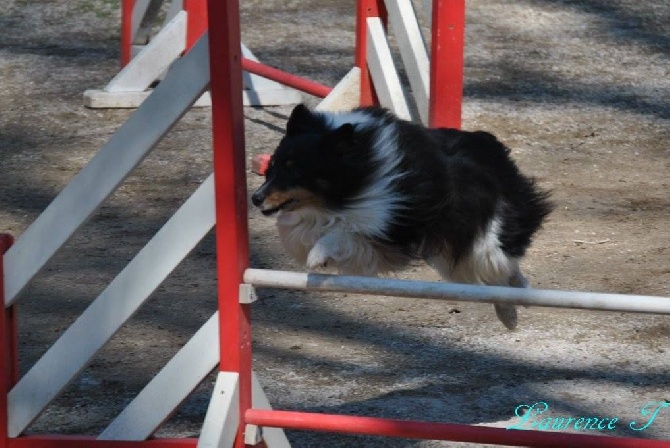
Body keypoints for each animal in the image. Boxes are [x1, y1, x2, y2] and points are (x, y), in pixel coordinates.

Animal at [252, 105, 552, 328]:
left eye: (295, 172)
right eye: (271, 167)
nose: (255, 198)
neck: (363, 167)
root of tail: (492, 145)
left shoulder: (390, 227)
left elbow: (341, 234)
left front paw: (318, 255)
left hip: (481, 241)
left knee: (503, 267)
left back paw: (519, 302)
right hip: (450, 260)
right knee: (491, 279)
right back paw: (510, 312)